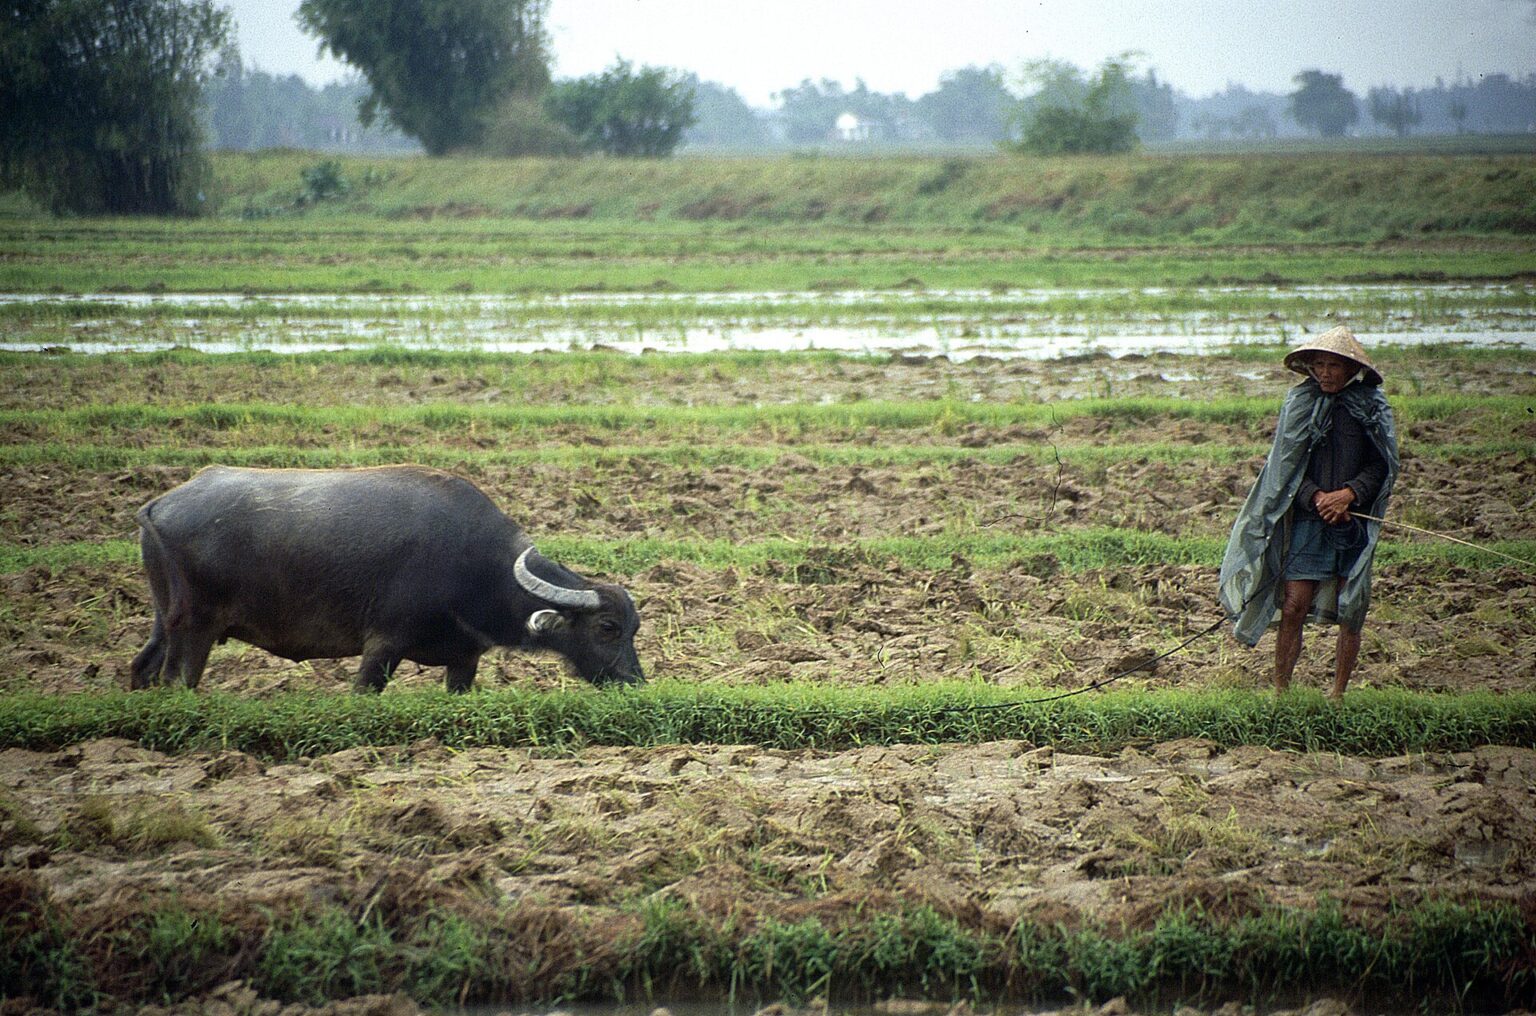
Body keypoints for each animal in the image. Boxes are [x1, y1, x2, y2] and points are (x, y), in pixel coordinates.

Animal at [130, 465, 643, 692]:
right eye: (607, 627)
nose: (634, 681)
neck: (475, 567)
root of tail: (160, 504)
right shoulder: (382, 645)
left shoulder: (464, 660)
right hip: (196, 628)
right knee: (176, 681)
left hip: (163, 621)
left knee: (141, 667)